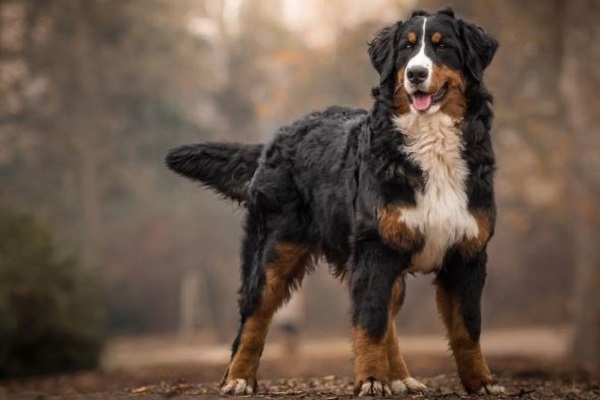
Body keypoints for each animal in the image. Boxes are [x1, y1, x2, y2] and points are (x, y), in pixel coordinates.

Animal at [166, 7, 504, 396]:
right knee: (254, 317)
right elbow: (369, 323)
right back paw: (239, 377)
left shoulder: (466, 252)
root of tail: (277, 138)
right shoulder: (375, 250)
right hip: (273, 251)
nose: (416, 74)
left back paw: (400, 377)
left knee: (387, 318)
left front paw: (482, 382)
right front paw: (371, 380)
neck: (430, 144)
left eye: (443, 45)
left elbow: (467, 329)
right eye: (406, 49)